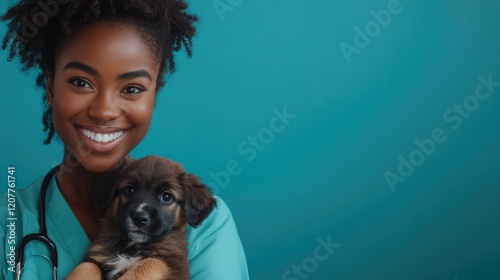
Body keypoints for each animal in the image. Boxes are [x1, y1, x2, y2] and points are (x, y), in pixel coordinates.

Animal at [65, 156, 216, 278]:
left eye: (167, 197)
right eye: (129, 190)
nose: (139, 218)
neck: (132, 245)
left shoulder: (174, 265)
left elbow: (151, 262)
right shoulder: (98, 256)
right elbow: (86, 267)